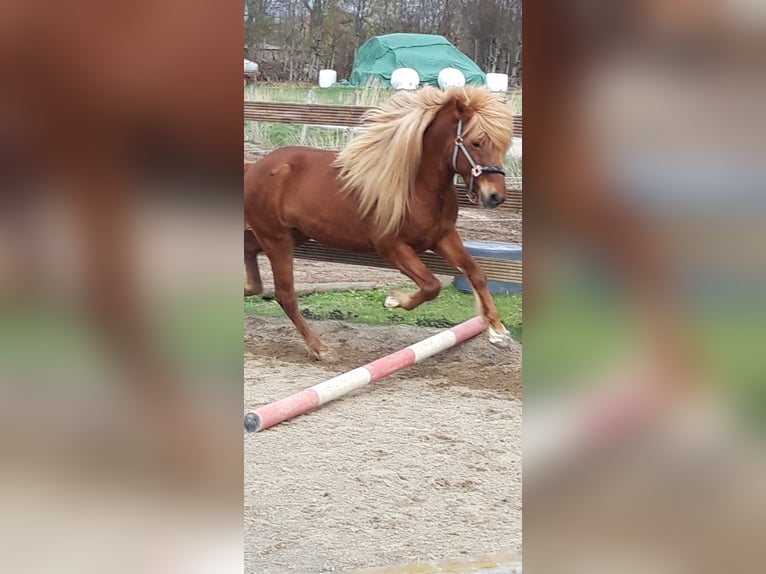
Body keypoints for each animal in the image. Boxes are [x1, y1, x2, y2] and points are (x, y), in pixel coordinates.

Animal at [246, 85, 516, 360]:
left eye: (502, 145)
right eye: (476, 142)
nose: (495, 197)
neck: (416, 186)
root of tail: (254, 167)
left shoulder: (443, 236)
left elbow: (476, 273)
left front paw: (498, 333)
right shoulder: (390, 246)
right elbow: (431, 285)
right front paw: (393, 300)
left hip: (291, 234)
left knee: (252, 266)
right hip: (276, 238)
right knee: (285, 294)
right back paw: (319, 348)